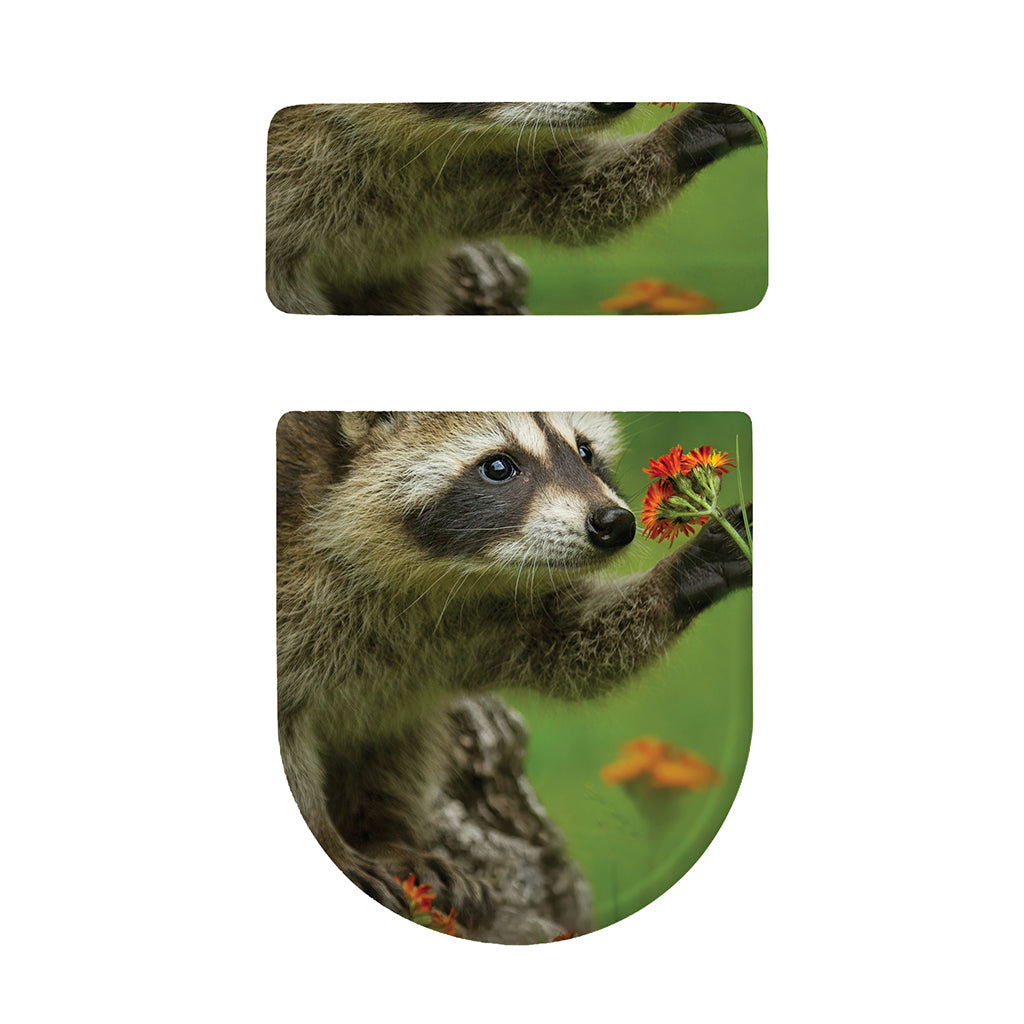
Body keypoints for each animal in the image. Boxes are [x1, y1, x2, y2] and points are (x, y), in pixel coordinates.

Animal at [277, 411, 752, 936]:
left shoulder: (483, 608)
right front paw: (331, 844)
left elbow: (565, 645)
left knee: (396, 734)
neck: (427, 576)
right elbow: (288, 740)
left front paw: (682, 574)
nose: (616, 523)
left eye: (584, 451)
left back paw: (387, 830)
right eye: (499, 467)